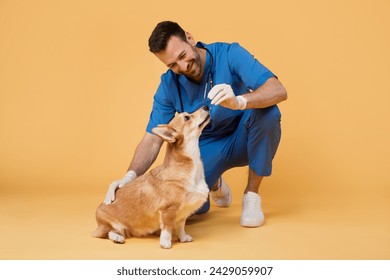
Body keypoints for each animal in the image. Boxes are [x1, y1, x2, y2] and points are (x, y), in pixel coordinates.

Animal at [92, 106, 210, 248]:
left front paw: (183, 238)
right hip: (112, 224)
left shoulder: (182, 214)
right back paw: (117, 238)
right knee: (109, 232)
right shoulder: (168, 210)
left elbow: (181, 227)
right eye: (187, 117)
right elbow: (167, 228)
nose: (206, 106)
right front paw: (165, 242)